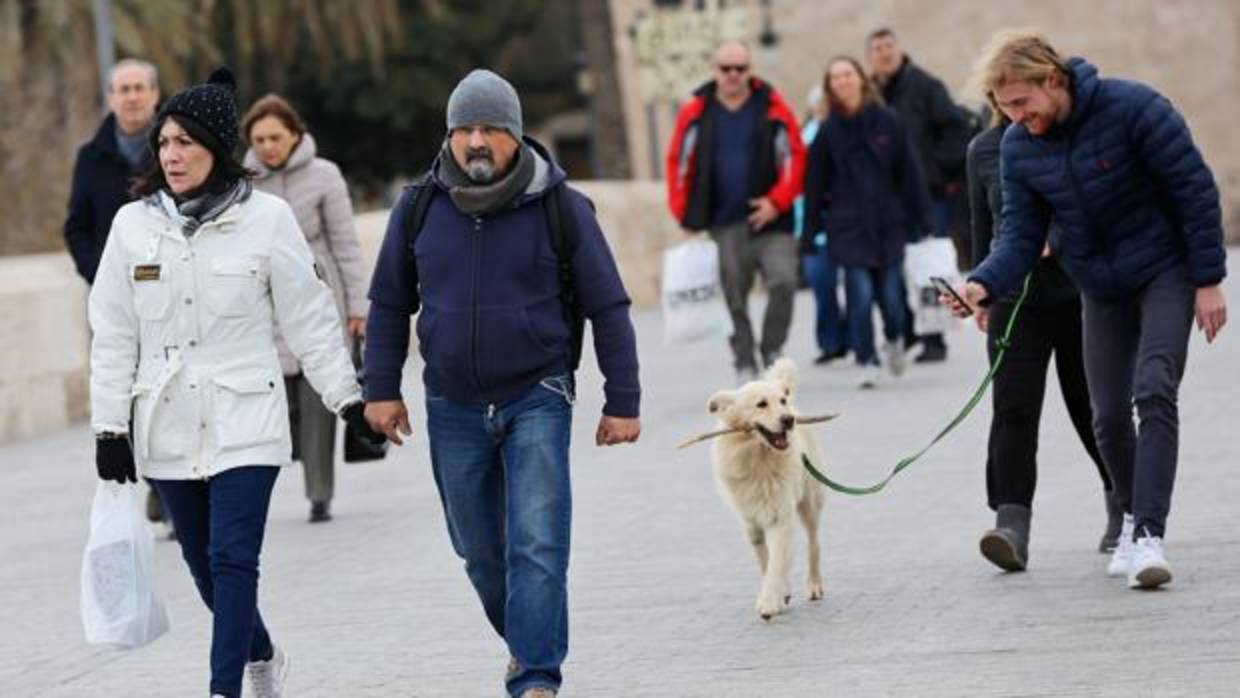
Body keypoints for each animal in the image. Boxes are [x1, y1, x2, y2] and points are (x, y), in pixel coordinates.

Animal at [709, 357, 823, 619]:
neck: (759, 459)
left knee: (813, 544)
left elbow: (776, 562)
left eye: (781, 401)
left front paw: (769, 602)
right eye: (761, 404)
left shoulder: (780, 516)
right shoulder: (751, 524)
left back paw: (814, 586)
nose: (788, 419)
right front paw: (781, 594)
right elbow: (766, 562)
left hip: (809, 503)